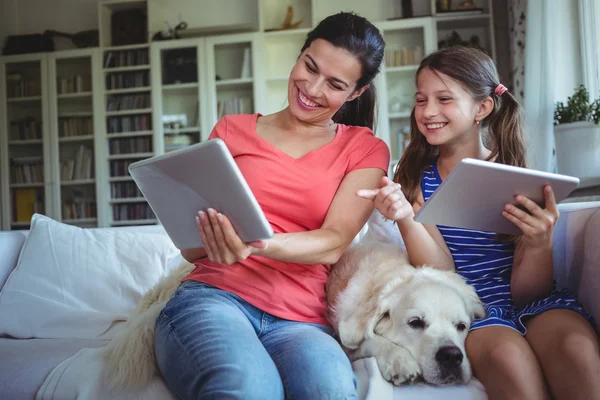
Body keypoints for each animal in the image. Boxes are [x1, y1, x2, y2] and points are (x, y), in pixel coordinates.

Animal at [326, 242, 486, 386]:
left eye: (461, 326)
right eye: (415, 322)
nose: (452, 356)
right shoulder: (345, 339)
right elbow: (369, 339)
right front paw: (399, 360)